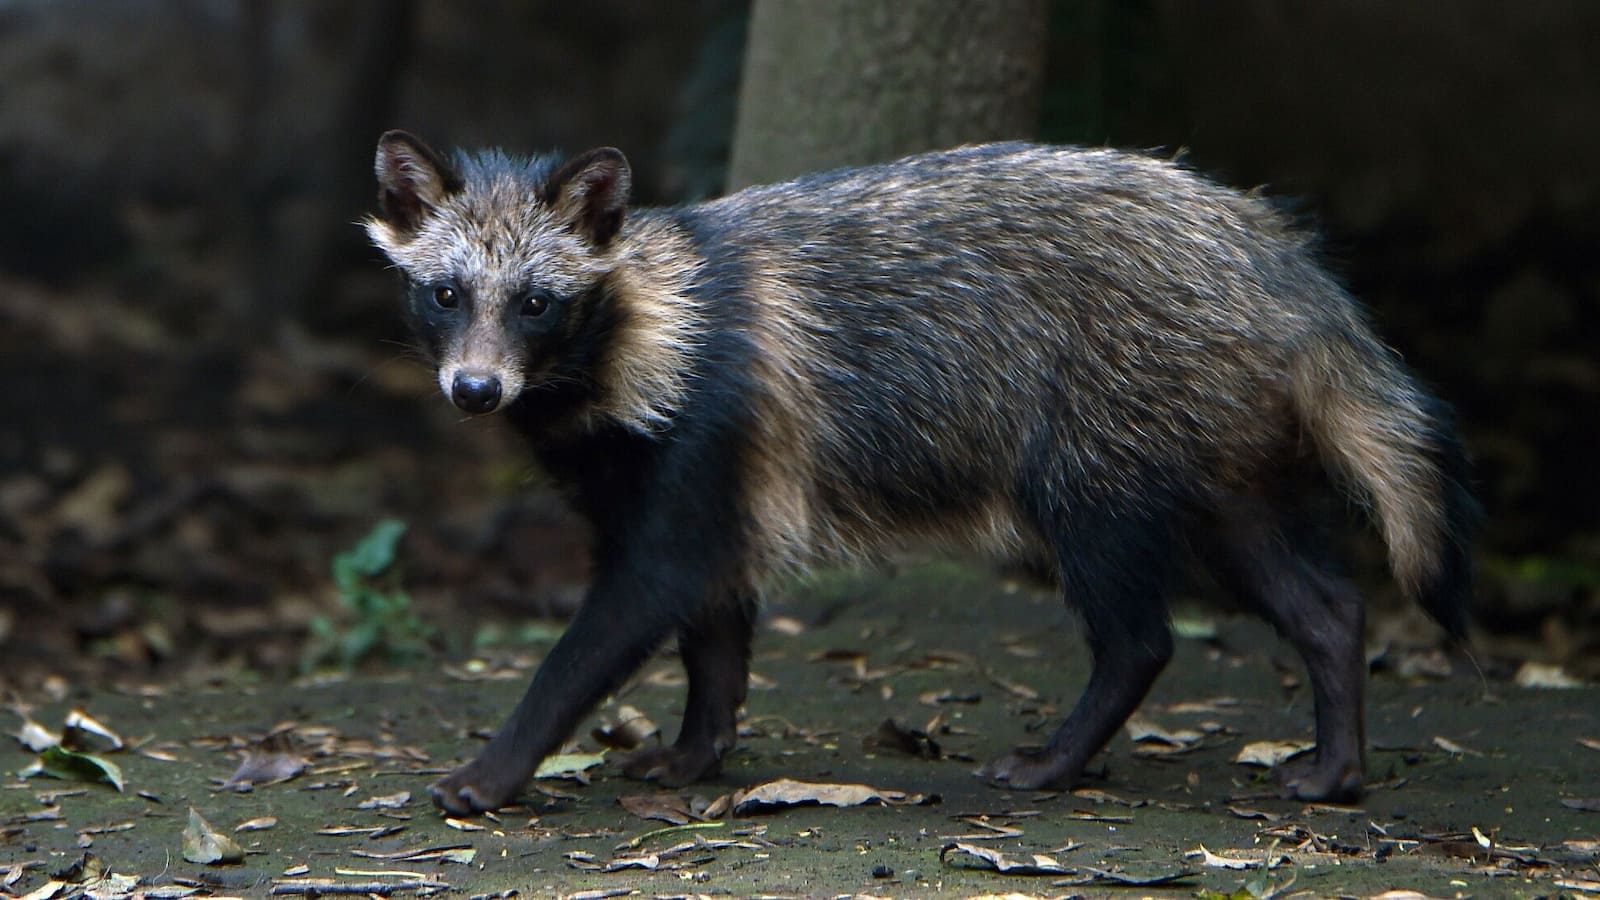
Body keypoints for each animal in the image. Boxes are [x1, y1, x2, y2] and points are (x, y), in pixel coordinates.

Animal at [366, 131, 1478, 815]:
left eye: (536, 303)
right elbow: (715, 635)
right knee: (1324, 603)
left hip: (1095, 454)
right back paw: (1337, 758)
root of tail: (1265, 246)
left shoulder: (702, 450)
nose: (475, 390)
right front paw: (697, 747)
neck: (640, 329)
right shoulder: (686, 487)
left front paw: (497, 765)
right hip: (1212, 466)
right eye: (446, 293)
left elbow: (600, 637)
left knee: (1140, 635)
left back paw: (1063, 754)